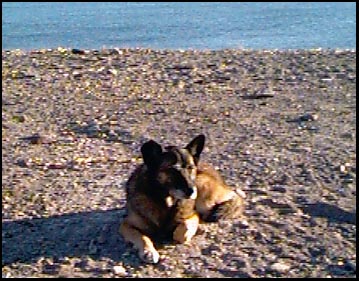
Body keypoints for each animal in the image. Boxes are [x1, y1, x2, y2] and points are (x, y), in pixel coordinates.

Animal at [119, 133, 246, 262]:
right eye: (173, 169)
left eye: (190, 168)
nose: (192, 191)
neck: (165, 202)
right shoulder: (126, 225)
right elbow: (143, 237)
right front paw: (148, 251)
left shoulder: (191, 215)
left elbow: (182, 231)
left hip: (202, 189)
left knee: (233, 197)